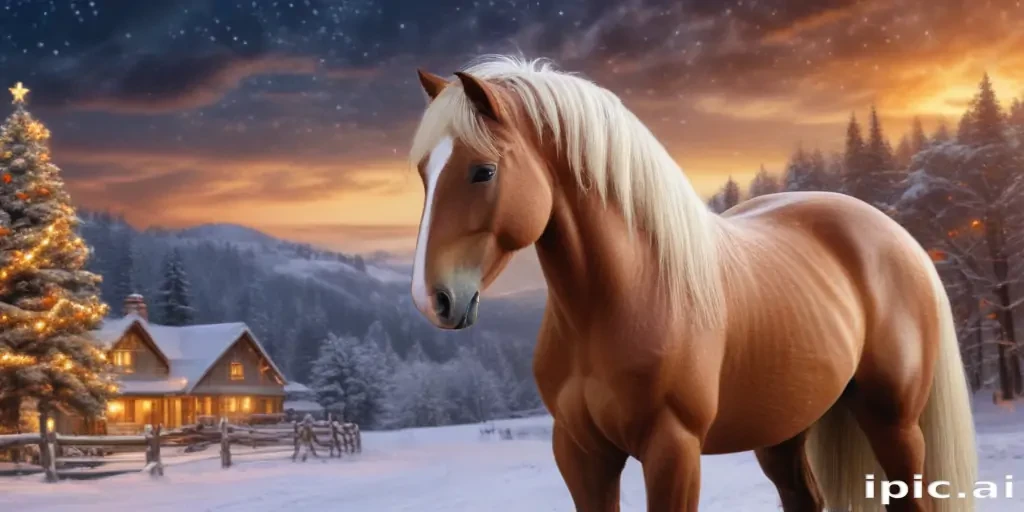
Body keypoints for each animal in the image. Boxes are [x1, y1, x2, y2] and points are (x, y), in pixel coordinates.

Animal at [406, 55, 978, 512]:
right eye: (424, 173)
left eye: (483, 171)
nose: (433, 299)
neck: (624, 297)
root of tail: (900, 239)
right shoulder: (580, 453)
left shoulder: (673, 450)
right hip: (784, 432)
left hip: (893, 422)